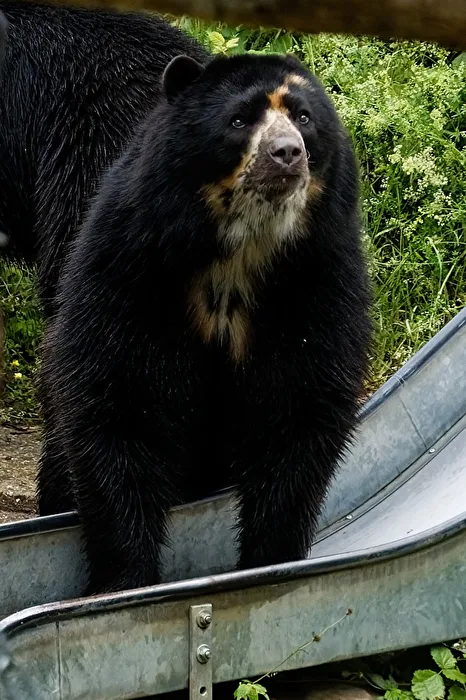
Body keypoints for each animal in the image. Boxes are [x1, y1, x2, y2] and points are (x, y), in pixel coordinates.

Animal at [38, 52, 372, 594]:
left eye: (303, 118)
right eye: (239, 121)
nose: (287, 154)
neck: (240, 251)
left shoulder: (317, 276)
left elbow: (301, 405)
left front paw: (270, 559)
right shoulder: (131, 266)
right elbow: (119, 400)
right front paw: (122, 579)